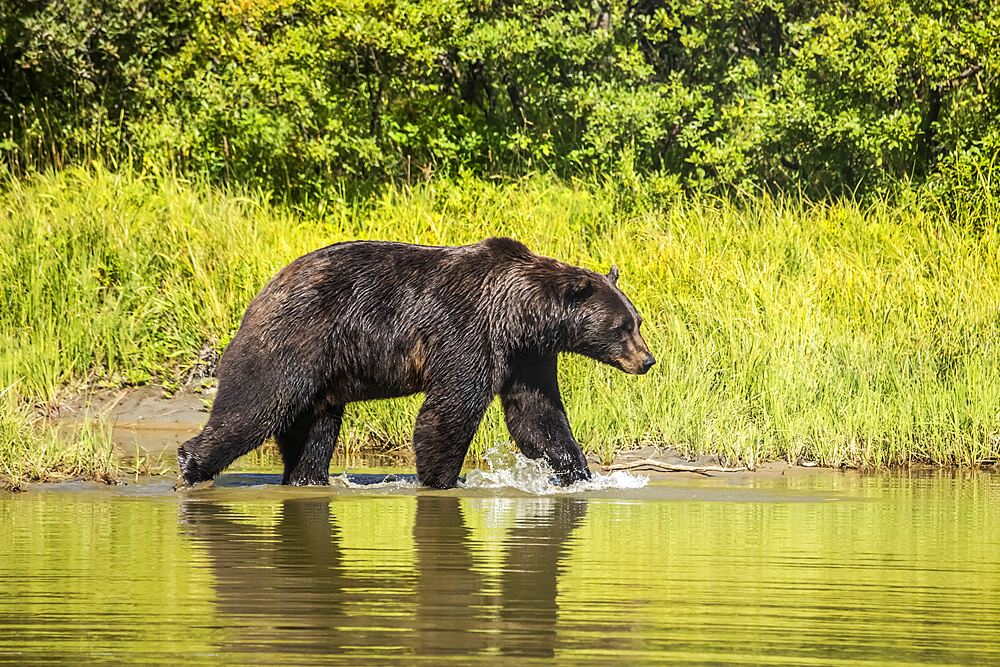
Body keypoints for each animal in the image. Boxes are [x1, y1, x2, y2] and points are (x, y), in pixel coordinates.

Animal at [176, 237, 652, 488]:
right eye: (620, 327)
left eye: (637, 321)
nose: (646, 360)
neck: (518, 315)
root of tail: (268, 285)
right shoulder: (467, 332)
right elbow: (451, 409)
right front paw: (444, 479)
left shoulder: (527, 355)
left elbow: (537, 415)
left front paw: (579, 474)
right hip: (296, 338)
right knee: (256, 405)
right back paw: (191, 466)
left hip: (324, 373)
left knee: (314, 430)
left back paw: (307, 479)